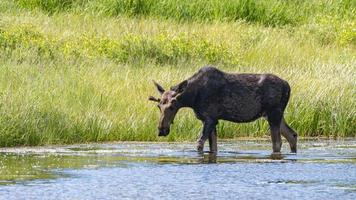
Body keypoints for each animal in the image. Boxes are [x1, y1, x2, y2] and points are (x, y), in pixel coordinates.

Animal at [148, 66, 298, 154]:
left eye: (172, 106)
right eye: (158, 106)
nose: (161, 129)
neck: (192, 99)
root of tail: (288, 86)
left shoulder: (210, 118)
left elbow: (199, 144)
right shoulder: (212, 120)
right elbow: (213, 147)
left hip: (274, 113)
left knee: (277, 142)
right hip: (273, 115)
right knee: (292, 134)